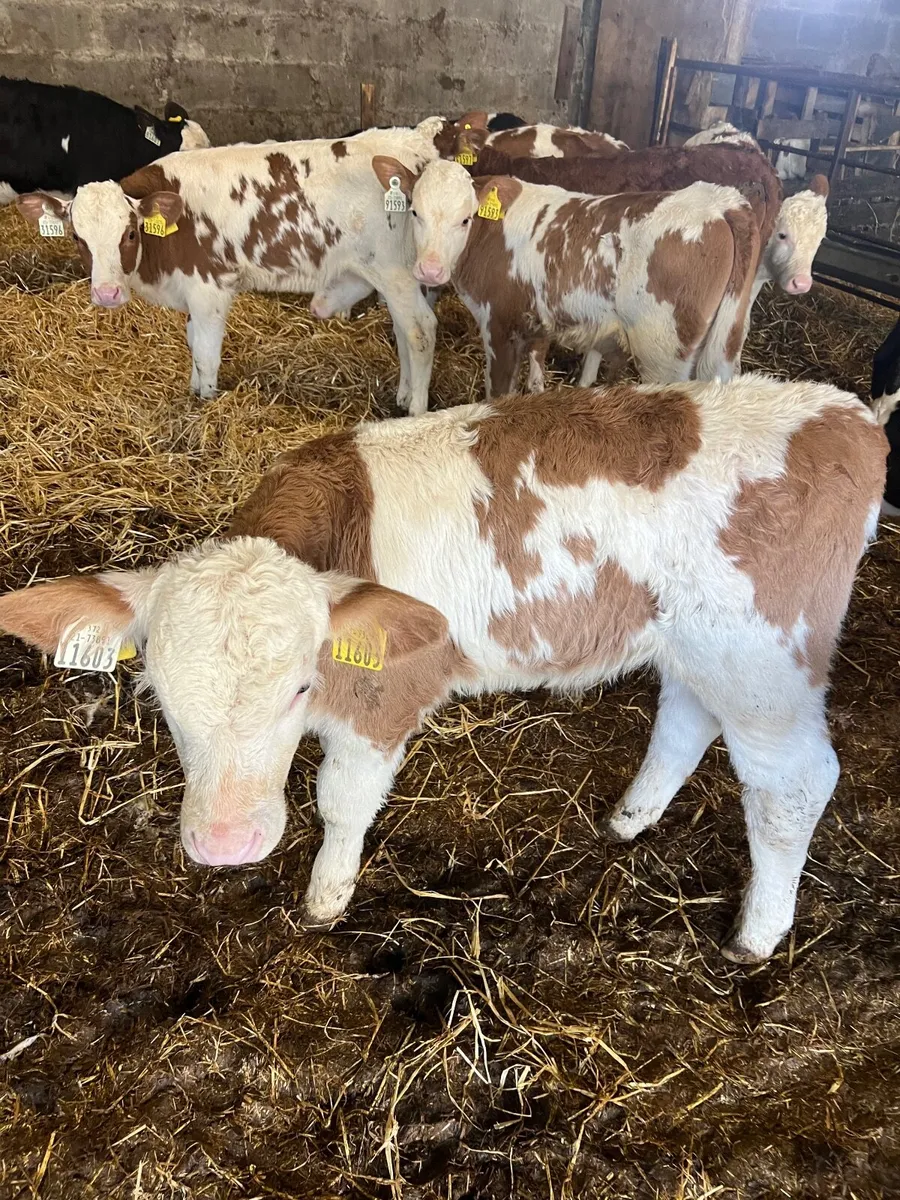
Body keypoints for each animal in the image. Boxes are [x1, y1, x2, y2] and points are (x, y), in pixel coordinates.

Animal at [0, 376, 885, 963]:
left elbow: (342, 803)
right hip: (699, 646)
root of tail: (845, 415)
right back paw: (628, 820)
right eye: (162, 696)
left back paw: (756, 935)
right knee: (687, 717)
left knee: (794, 784)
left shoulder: (385, 698)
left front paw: (326, 898)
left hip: (766, 658)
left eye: (299, 687)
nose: (224, 845)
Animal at [16, 120, 447, 413]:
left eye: (131, 234)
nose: (107, 294)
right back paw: (403, 394)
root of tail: (413, 142)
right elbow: (192, 344)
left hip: (394, 271)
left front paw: (206, 401)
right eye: (77, 237)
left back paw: (416, 409)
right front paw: (193, 389)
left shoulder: (210, 289)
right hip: (395, 277)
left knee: (420, 331)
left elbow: (207, 353)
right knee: (403, 331)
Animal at [372, 156, 760, 398]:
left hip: (663, 352)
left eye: (465, 219)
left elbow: (498, 391)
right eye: (414, 211)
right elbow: (536, 364)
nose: (430, 270)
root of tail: (715, 201)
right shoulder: (536, 317)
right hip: (723, 346)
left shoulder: (498, 323)